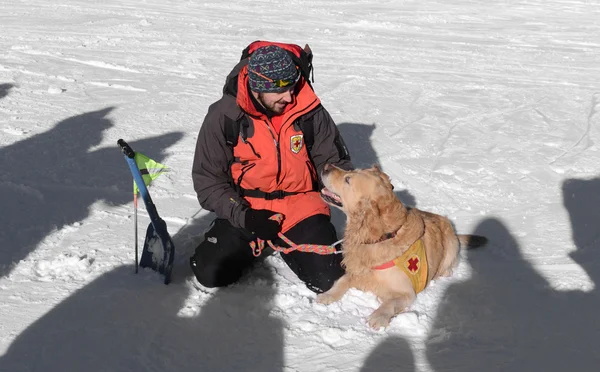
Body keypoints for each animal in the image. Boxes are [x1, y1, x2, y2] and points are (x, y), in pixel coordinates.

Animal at [316, 163, 486, 328]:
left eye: (348, 179)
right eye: (350, 171)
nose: (326, 166)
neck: (382, 237)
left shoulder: (407, 292)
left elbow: (390, 303)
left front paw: (378, 317)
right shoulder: (358, 272)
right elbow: (341, 281)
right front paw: (327, 295)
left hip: (450, 246)